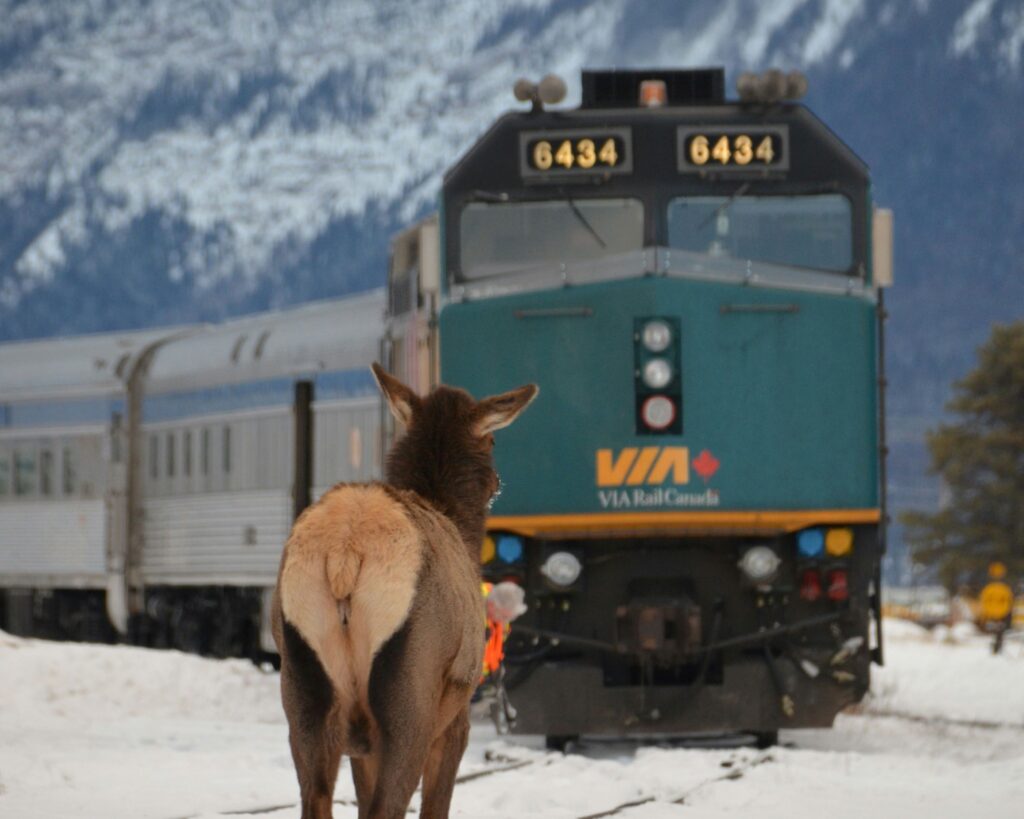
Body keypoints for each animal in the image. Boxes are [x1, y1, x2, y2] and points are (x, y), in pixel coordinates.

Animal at [272, 366, 544, 818]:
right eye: (491, 440)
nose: (498, 482)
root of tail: (345, 553)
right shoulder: (456, 716)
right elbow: (435, 806)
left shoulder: (359, 745)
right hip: (410, 696)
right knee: (390, 805)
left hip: (302, 693)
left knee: (316, 798)